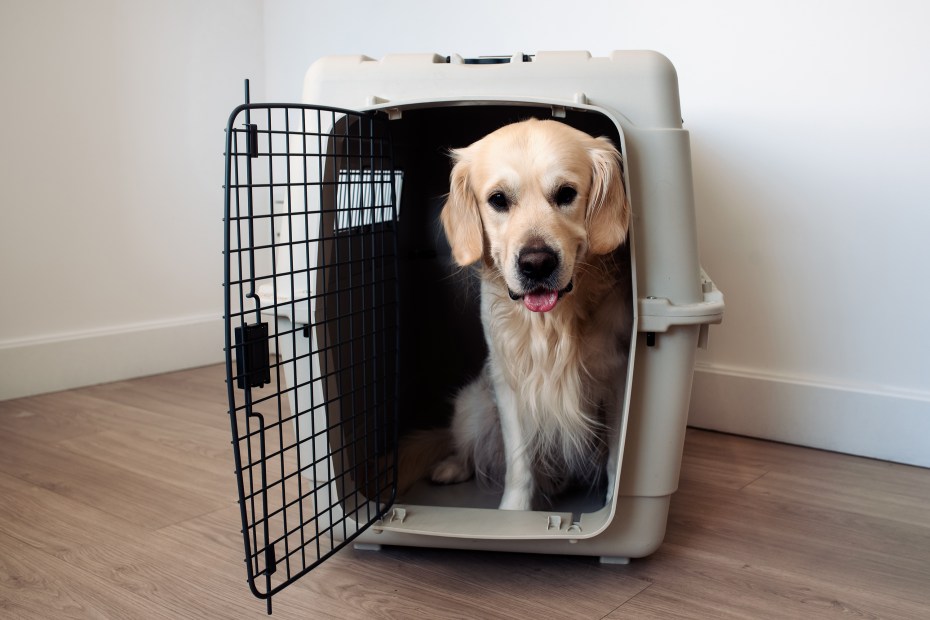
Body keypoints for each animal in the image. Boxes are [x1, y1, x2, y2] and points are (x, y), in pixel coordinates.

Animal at [430, 118, 632, 512]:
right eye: (498, 200)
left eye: (566, 193)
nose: (536, 263)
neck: (552, 322)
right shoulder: (509, 381)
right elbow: (518, 462)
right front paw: (514, 514)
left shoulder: (616, 377)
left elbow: (617, 457)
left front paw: (612, 504)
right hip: (471, 404)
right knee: (471, 448)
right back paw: (449, 467)